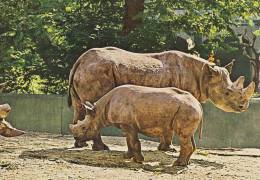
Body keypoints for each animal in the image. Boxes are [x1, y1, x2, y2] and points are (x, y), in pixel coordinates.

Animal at [68, 46, 255, 149]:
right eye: (228, 93)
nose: (243, 107)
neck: (204, 76)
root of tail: (80, 60)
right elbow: (169, 127)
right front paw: (168, 149)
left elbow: (167, 125)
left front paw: (165, 148)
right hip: (97, 71)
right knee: (95, 108)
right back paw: (102, 148)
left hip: (88, 70)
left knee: (81, 107)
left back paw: (80, 144)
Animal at [70, 85, 203, 167]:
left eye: (84, 128)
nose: (76, 138)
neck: (99, 111)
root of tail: (198, 103)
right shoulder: (125, 124)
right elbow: (128, 140)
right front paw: (127, 156)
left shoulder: (128, 124)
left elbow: (134, 141)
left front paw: (138, 160)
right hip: (188, 109)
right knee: (189, 136)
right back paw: (185, 164)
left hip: (187, 109)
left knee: (183, 136)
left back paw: (177, 164)